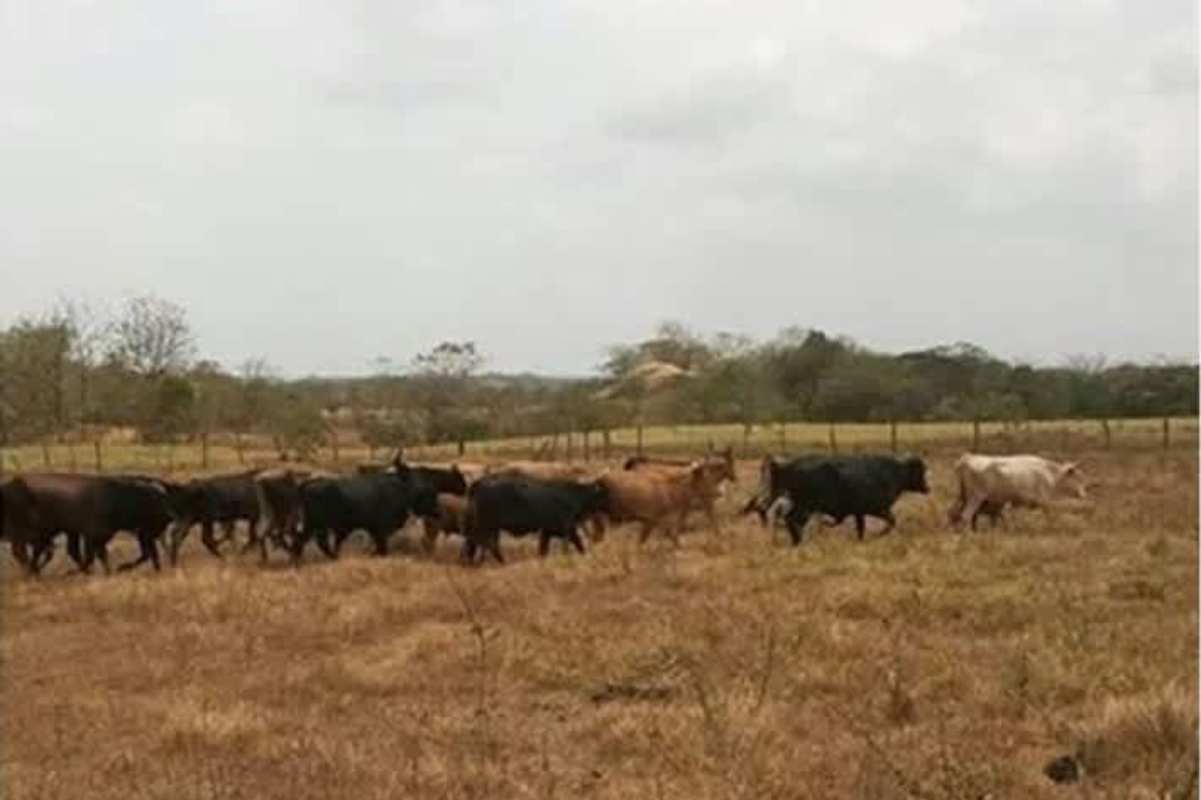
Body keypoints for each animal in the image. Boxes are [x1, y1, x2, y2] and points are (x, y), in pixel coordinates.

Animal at [291, 466, 439, 563]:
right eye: (426, 491)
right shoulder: (380, 530)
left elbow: (379, 548)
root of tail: (310, 483)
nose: (436, 510)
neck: (400, 490)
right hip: (316, 524)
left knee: (306, 541)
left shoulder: (374, 530)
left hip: (314, 525)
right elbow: (382, 548)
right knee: (314, 542)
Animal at [460, 475, 610, 564]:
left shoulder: (548, 531)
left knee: (480, 544)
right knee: (485, 544)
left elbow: (544, 549)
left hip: (491, 528)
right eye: (603, 494)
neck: (573, 495)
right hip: (487, 526)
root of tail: (481, 482)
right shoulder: (567, 528)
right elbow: (576, 544)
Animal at [768, 455, 930, 545]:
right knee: (792, 520)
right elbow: (891, 521)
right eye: (920, 471)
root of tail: (786, 466)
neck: (893, 473)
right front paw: (878, 534)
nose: (927, 488)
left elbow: (861, 528)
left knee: (790, 520)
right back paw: (798, 541)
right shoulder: (876, 509)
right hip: (805, 506)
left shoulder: (859, 513)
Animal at [946, 454, 1087, 531]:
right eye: (1078, 477)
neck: (1049, 473)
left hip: (963, 496)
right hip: (975, 497)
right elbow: (1050, 515)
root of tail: (968, 458)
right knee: (965, 516)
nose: (1083, 494)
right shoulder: (1044, 501)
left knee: (953, 513)